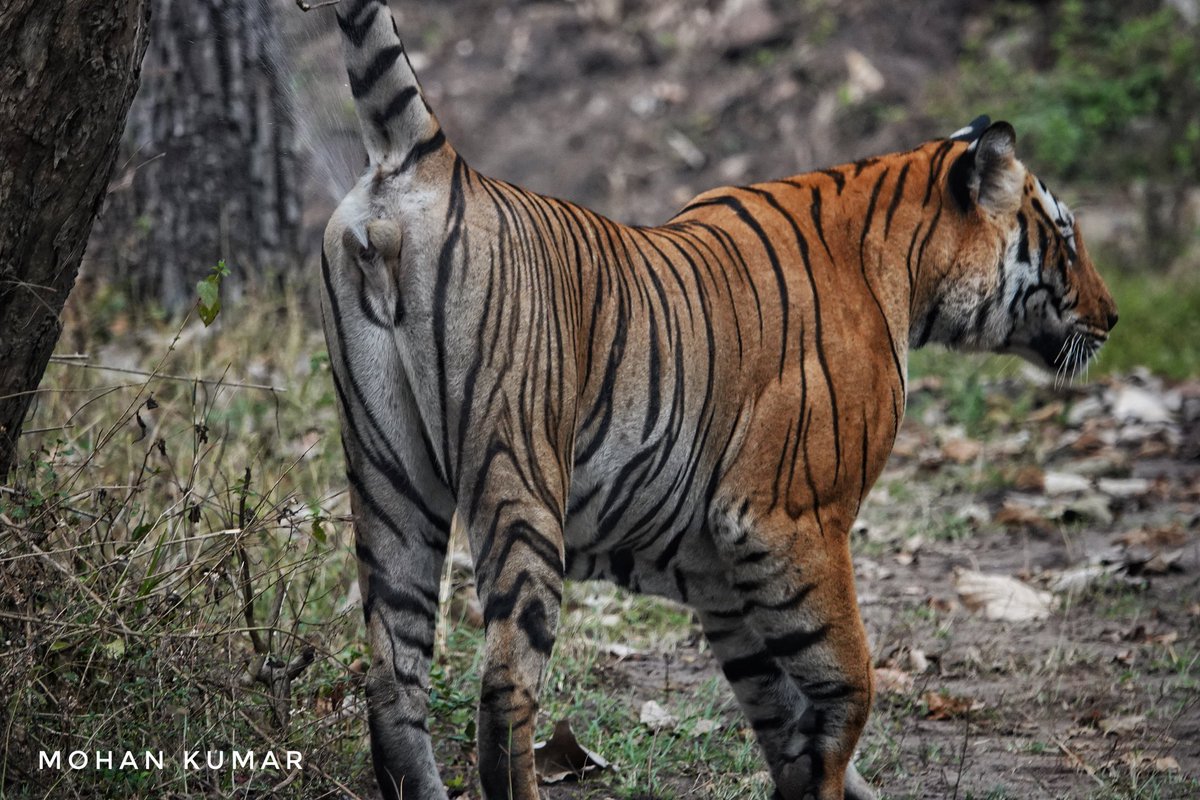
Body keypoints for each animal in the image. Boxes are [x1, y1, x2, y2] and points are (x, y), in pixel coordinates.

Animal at [319, 2, 1118, 798]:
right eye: (1068, 236)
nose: (1113, 319)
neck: (907, 266)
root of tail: (433, 160)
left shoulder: (721, 574)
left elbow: (781, 709)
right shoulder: (789, 519)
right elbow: (847, 684)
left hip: (391, 480)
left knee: (393, 678)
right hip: (519, 478)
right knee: (506, 689)